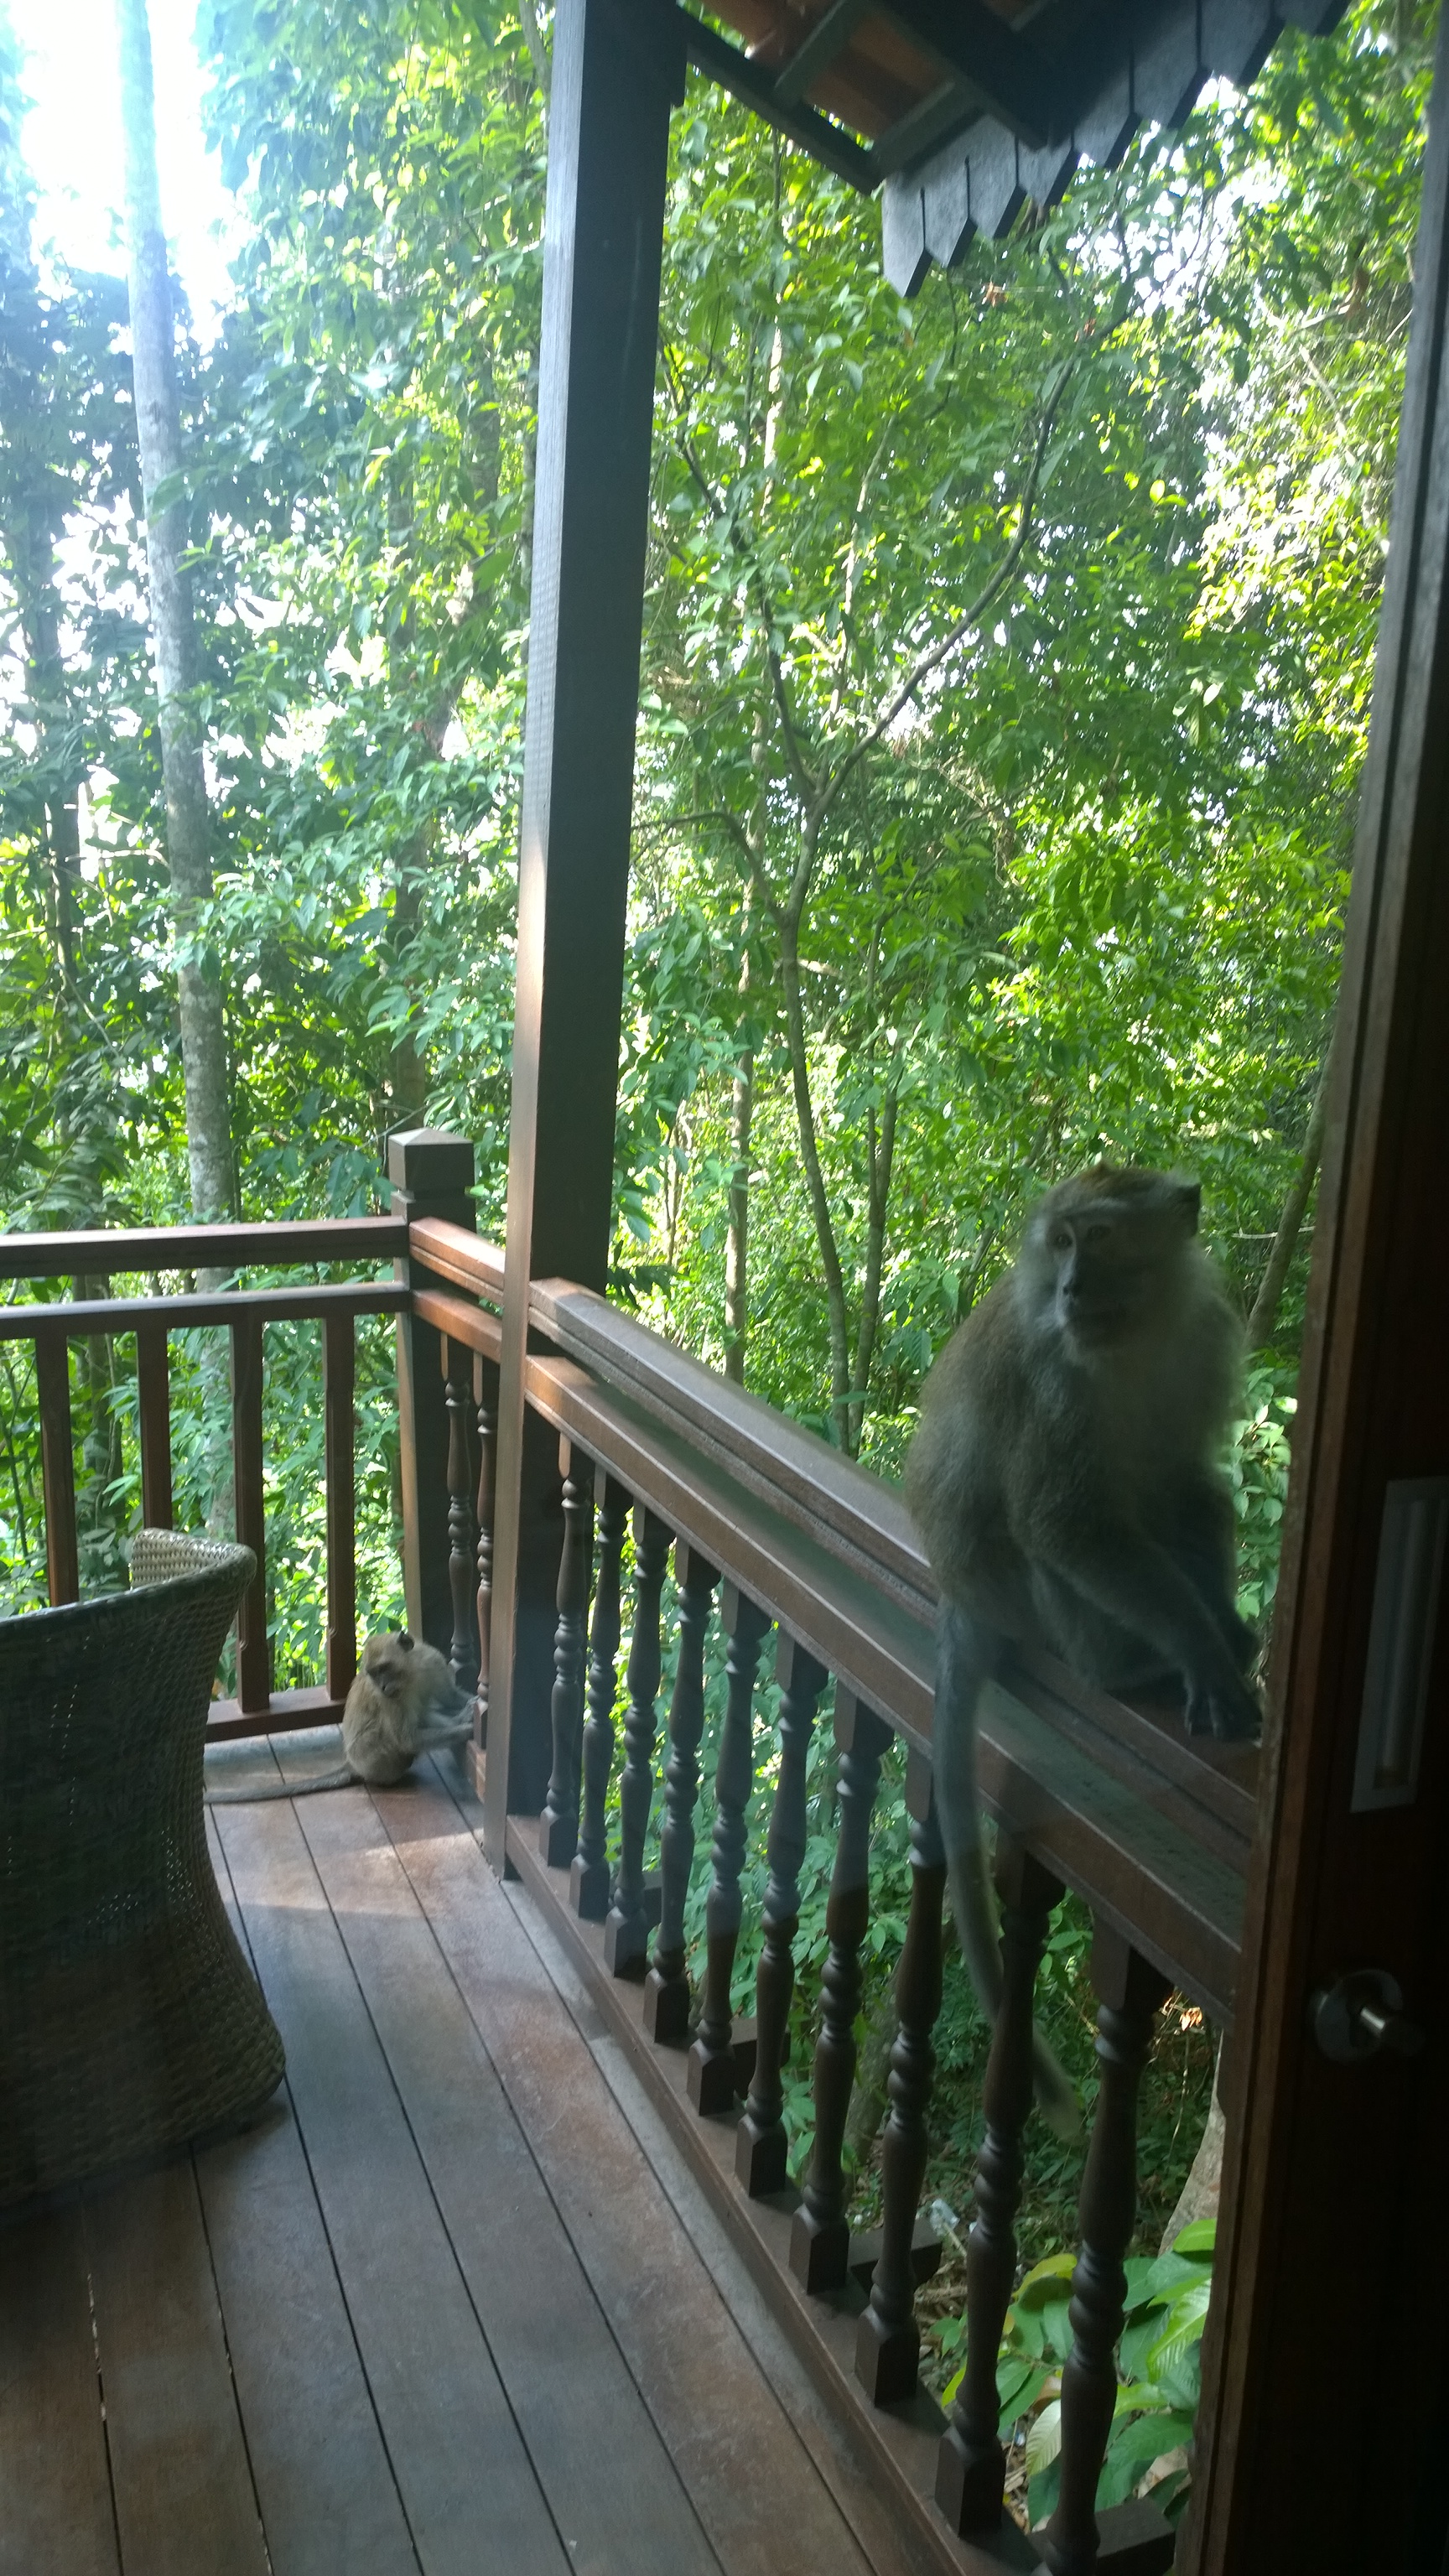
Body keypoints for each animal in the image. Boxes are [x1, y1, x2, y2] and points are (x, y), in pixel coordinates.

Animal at [203, 1628, 476, 1813]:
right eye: (374, 1675)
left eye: (384, 1669)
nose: (383, 1686)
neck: (409, 1674)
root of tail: (352, 1763)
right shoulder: (388, 1700)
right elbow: (406, 1739)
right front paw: (466, 1727)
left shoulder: (431, 1662)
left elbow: (450, 1697)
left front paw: (469, 1708)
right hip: (371, 1757)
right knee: (391, 1736)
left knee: (423, 1714)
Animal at [902, 1169, 1253, 2132]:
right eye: (1059, 1242)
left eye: (1097, 1237)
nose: (1067, 1289)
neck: (1134, 1336)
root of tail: (959, 1595)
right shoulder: (1056, 1380)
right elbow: (1064, 1521)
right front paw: (1199, 1650)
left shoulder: (1202, 1340)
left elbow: (1189, 1484)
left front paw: (1225, 1632)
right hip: (1021, 1598)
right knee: (1045, 1545)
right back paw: (1127, 1669)